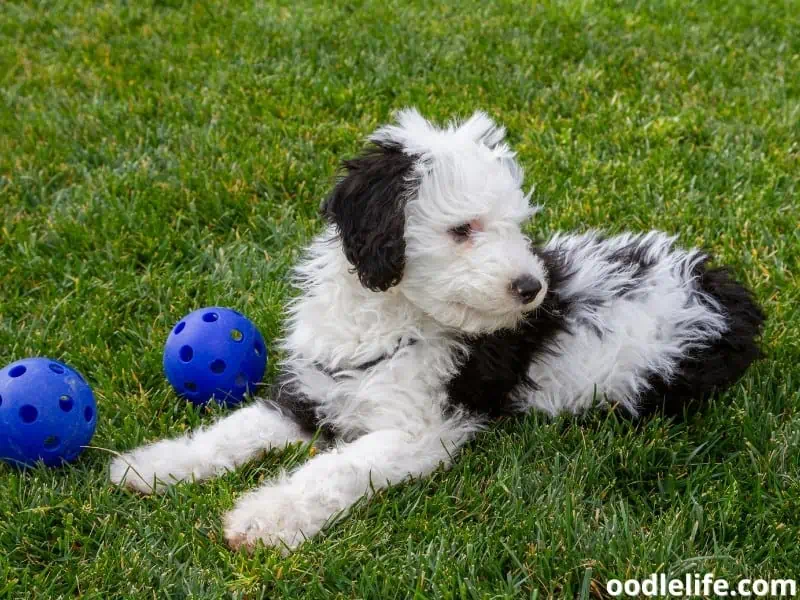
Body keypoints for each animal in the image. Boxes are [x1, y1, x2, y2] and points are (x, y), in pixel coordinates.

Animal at [109, 109, 764, 552]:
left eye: (514, 225)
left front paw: (267, 517)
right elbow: (232, 429)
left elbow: (336, 467)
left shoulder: (423, 429)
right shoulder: (310, 394)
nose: (533, 287)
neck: (394, 322)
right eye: (462, 229)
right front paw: (153, 466)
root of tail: (719, 289)